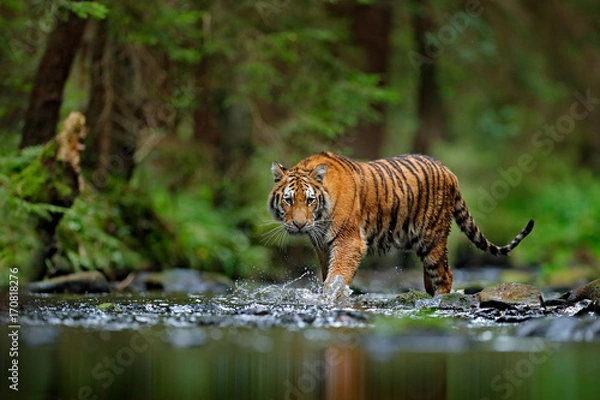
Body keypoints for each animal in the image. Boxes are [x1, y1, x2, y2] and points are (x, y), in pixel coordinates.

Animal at [268, 152, 536, 296]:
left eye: (310, 200)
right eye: (289, 200)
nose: (299, 225)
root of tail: (449, 171)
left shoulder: (349, 241)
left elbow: (337, 275)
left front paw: (332, 297)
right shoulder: (322, 246)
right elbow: (328, 274)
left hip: (433, 238)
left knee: (445, 275)